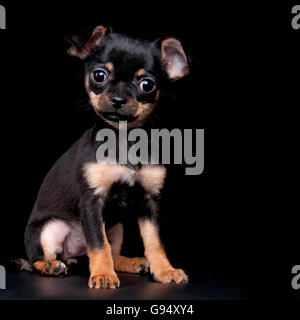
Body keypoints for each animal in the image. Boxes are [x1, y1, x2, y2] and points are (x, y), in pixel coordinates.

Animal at [20, 26, 190, 288]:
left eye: (147, 85)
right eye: (99, 76)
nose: (118, 100)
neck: (124, 139)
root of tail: (75, 256)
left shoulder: (150, 201)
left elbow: (154, 242)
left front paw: (165, 270)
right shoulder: (92, 201)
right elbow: (99, 244)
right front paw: (102, 275)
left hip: (116, 226)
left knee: (113, 251)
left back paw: (131, 262)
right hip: (49, 230)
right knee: (37, 260)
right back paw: (51, 266)